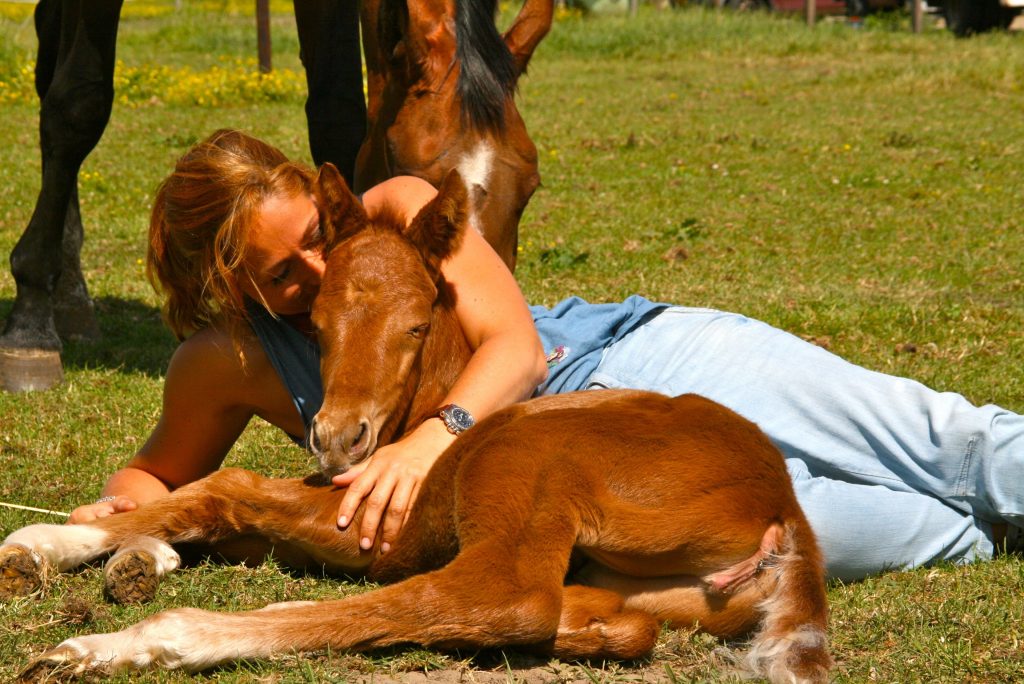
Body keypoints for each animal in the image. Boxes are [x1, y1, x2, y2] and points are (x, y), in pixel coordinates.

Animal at [0, 0, 548, 389]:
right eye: (411, 171)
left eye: (531, 188)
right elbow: (78, 105)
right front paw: (28, 327)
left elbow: (337, 108)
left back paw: (72, 299)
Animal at [0, 163, 831, 684]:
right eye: (319, 322)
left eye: (415, 324)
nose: (339, 437)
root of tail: (788, 517)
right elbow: (209, 501)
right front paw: (81, 545)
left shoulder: (374, 523)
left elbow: (228, 484)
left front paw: (47, 546)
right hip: (649, 589)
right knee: (609, 620)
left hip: (528, 457)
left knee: (498, 600)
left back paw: (131, 643)